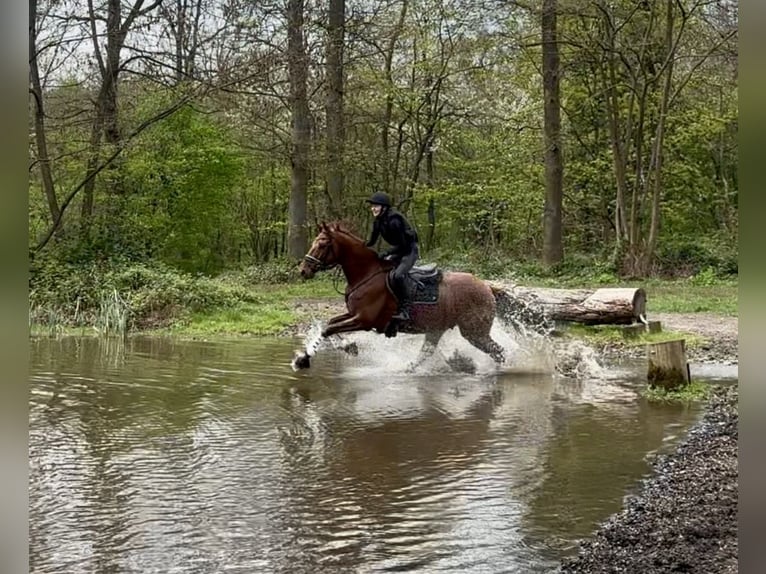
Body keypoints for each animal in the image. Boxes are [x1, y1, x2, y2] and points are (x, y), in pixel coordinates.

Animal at [294, 221, 540, 371]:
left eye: (322, 243)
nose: (303, 271)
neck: (365, 274)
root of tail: (487, 286)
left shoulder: (364, 320)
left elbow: (328, 329)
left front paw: (306, 358)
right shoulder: (353, 315)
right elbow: (329, 325)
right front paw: (343, 348)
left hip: (474, 332)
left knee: (498, 352)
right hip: (436, 329)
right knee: (426, 353)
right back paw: (412, 369)